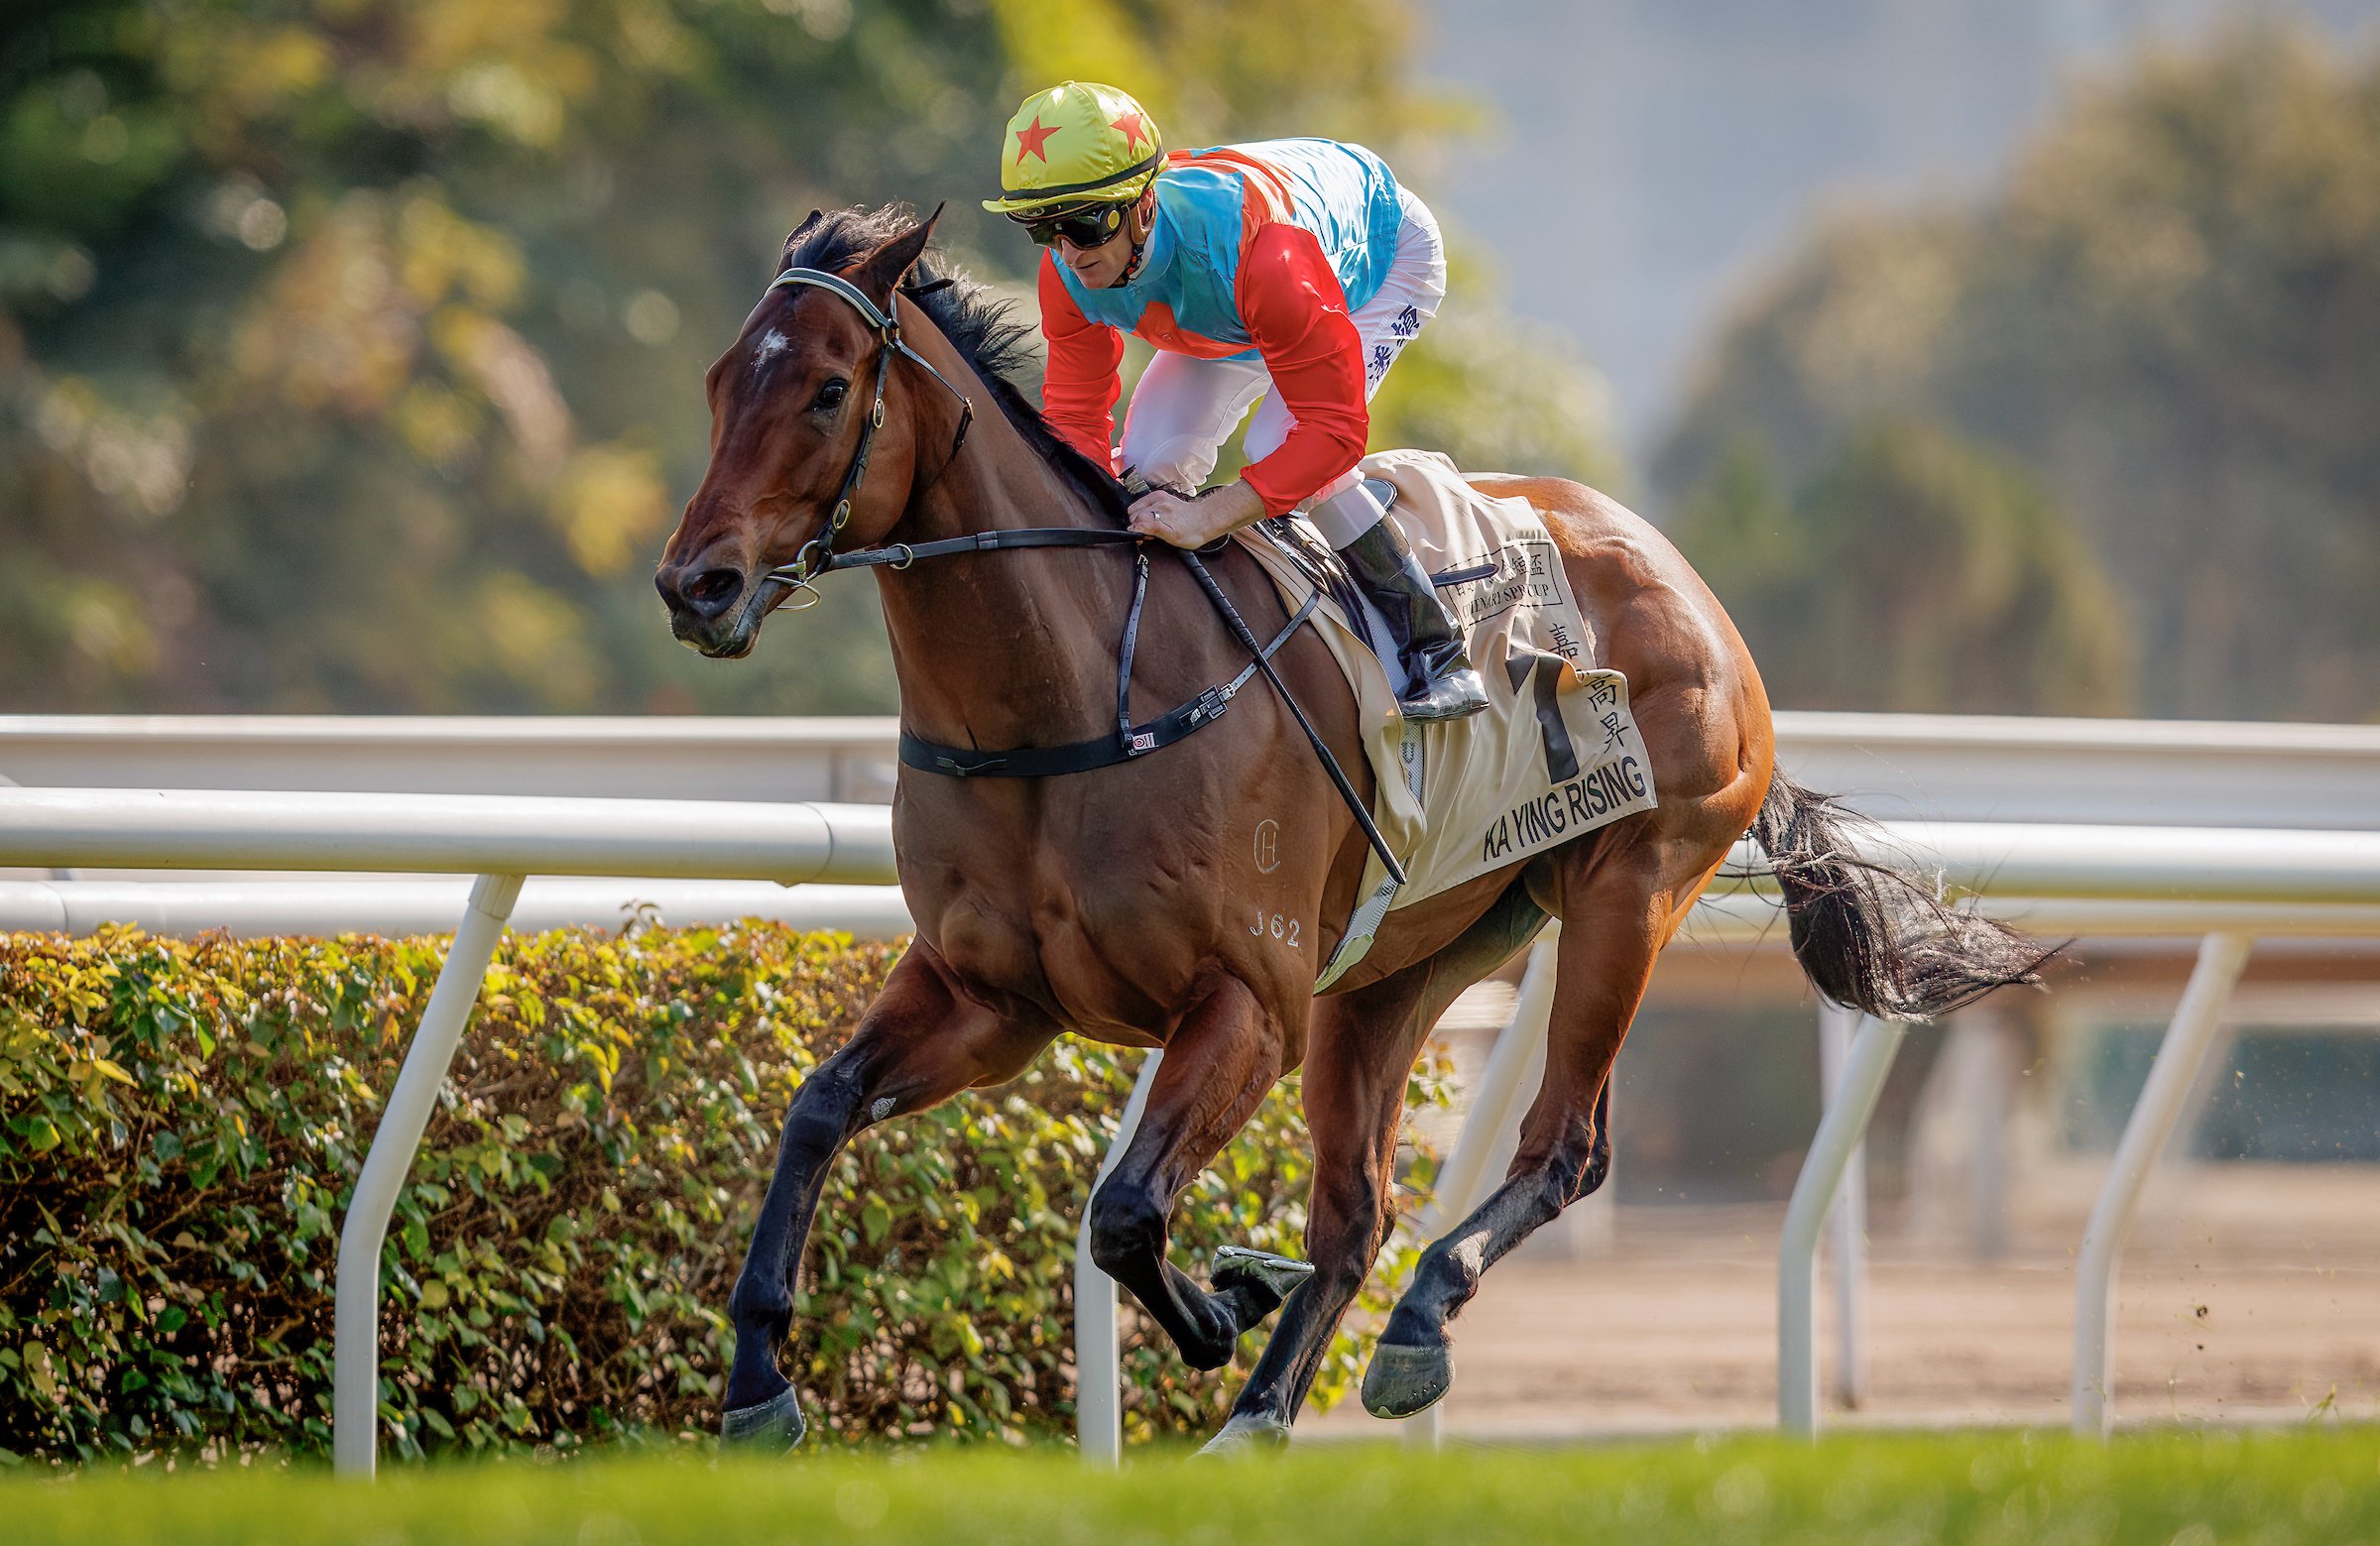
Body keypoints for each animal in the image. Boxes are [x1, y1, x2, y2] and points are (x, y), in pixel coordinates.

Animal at [652, 204, 2047, 1446]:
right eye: (717, 382)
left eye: (829, 389)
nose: (695, 584)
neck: (1074, 694)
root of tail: (1690, 588)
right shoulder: (991, 995)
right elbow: (818, 1106)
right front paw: (757, 1382)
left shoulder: (1248, 1002)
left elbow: (1124, 1210)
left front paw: (1220, 1305)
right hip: (1399, 967)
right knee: (1357, 1209)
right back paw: (1258, 1412)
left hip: (1628, 891)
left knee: (1564, 1147)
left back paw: (1413, 1324)